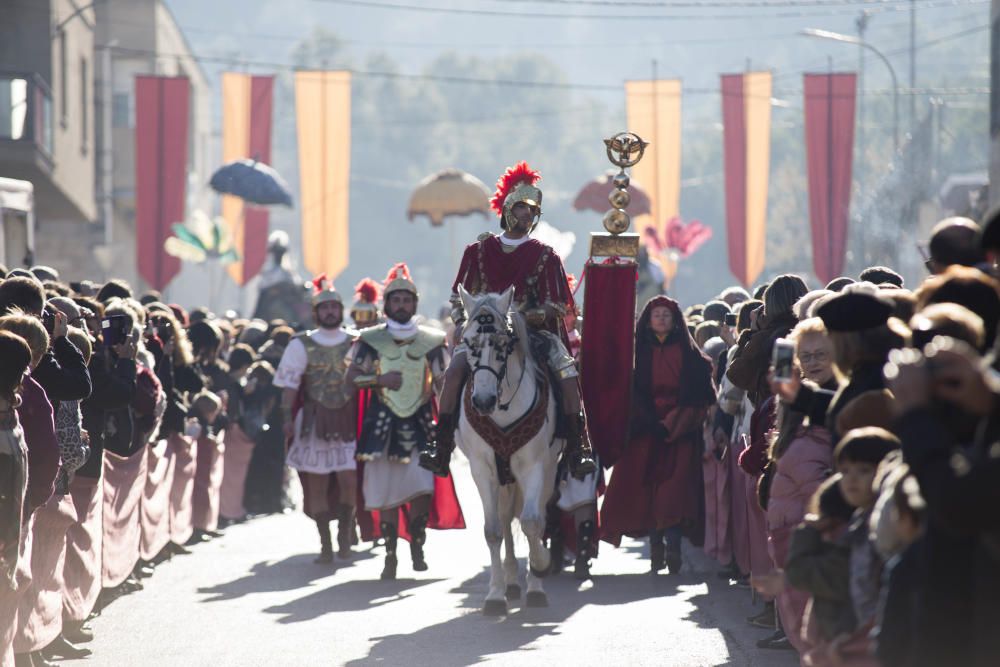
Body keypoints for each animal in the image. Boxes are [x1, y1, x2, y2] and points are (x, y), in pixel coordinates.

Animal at [456, 288, 564, 616]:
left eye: (503, 343)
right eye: (469, 341)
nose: (483, 401)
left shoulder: (534, 467)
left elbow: (532, 522)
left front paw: (540, 570)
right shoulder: (482, 469)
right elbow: (493, 530)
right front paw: (495, 596)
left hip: (547, 470)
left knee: (538, 516)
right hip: (504, 479)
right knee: (505, 520)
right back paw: (511, 583)